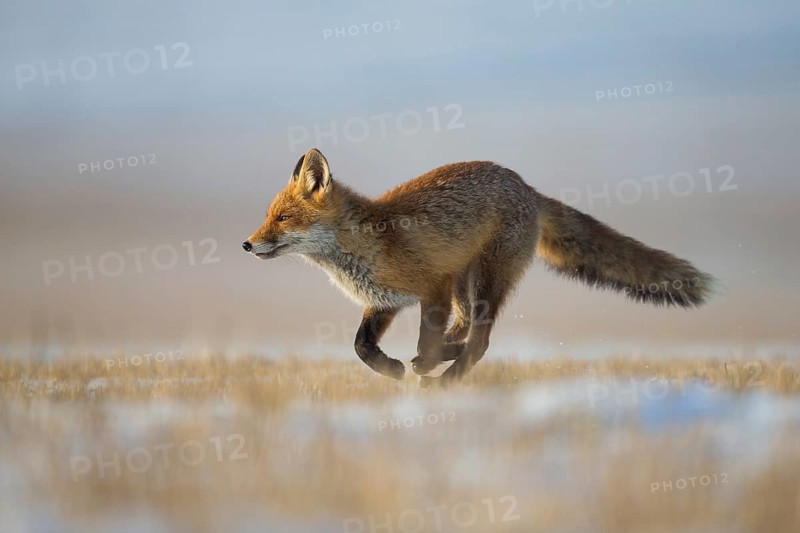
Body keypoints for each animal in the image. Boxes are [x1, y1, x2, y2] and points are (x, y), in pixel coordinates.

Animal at [243, 148, 715, 386]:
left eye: (283, 218)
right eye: (268, 217)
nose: (247, 244)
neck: (366, 246)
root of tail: (527, 186)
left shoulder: (431, 288)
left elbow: (424, 340)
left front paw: (418, 370)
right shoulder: (384, 302)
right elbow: (361, 346)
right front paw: (393, 369)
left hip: (484, 280)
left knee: (480, 340)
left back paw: (443, 377)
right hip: (464, 285)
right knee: (468, 331)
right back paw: (434, 361)